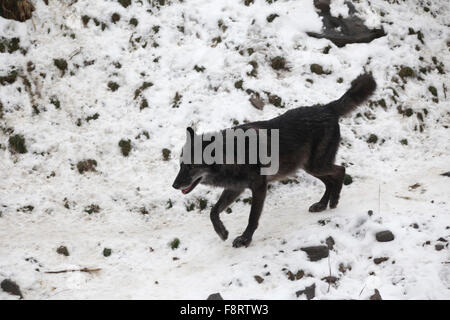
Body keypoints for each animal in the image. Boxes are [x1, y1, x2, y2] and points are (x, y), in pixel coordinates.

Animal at [172, 74, 376, 248]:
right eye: (181, 165)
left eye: (190, 166)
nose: (174, 185)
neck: (231, 154)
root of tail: (326, 107)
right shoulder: (235, 188)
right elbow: (213, 212)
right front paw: (222, 232)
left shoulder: (259, 187)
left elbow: (252, 218)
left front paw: (245, 239)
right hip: (309, 167)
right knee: (330, 180)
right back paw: (322, 204)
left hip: (316, 166)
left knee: (341, 170)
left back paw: (333, 200)